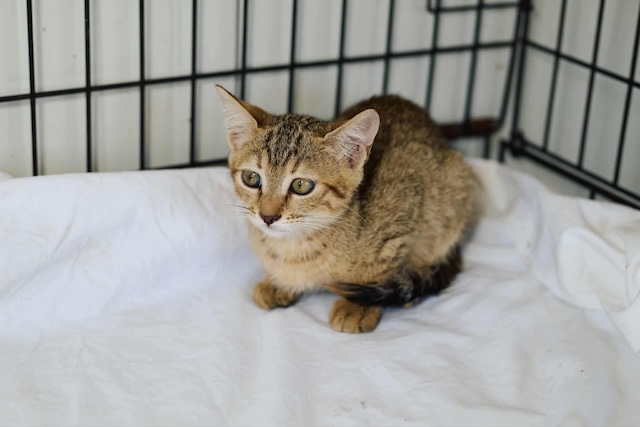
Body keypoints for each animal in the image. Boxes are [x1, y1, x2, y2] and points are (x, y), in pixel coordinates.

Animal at [216, 86, 476, 333]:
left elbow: (379, 267)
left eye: (301, 185)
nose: (267, 217)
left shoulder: (406, 200)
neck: (296, 247)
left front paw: (356, 306)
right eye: (251, 178)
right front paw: (277, 282)